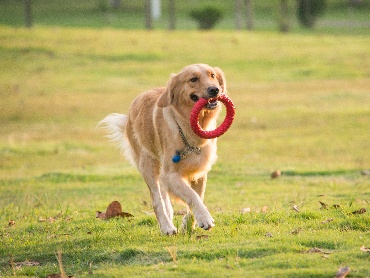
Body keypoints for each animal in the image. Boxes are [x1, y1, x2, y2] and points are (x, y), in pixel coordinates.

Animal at [100, 63, 225, 235]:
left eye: (212, 75)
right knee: (157, 200)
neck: (188, 128)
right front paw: (205, 219)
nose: (215, 90)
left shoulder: (199, 172)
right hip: (148, 165)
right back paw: (166, 227)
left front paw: (188, 225)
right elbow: (191, 196)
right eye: (193, 79)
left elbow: (198, 196)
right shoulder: (171, 175)